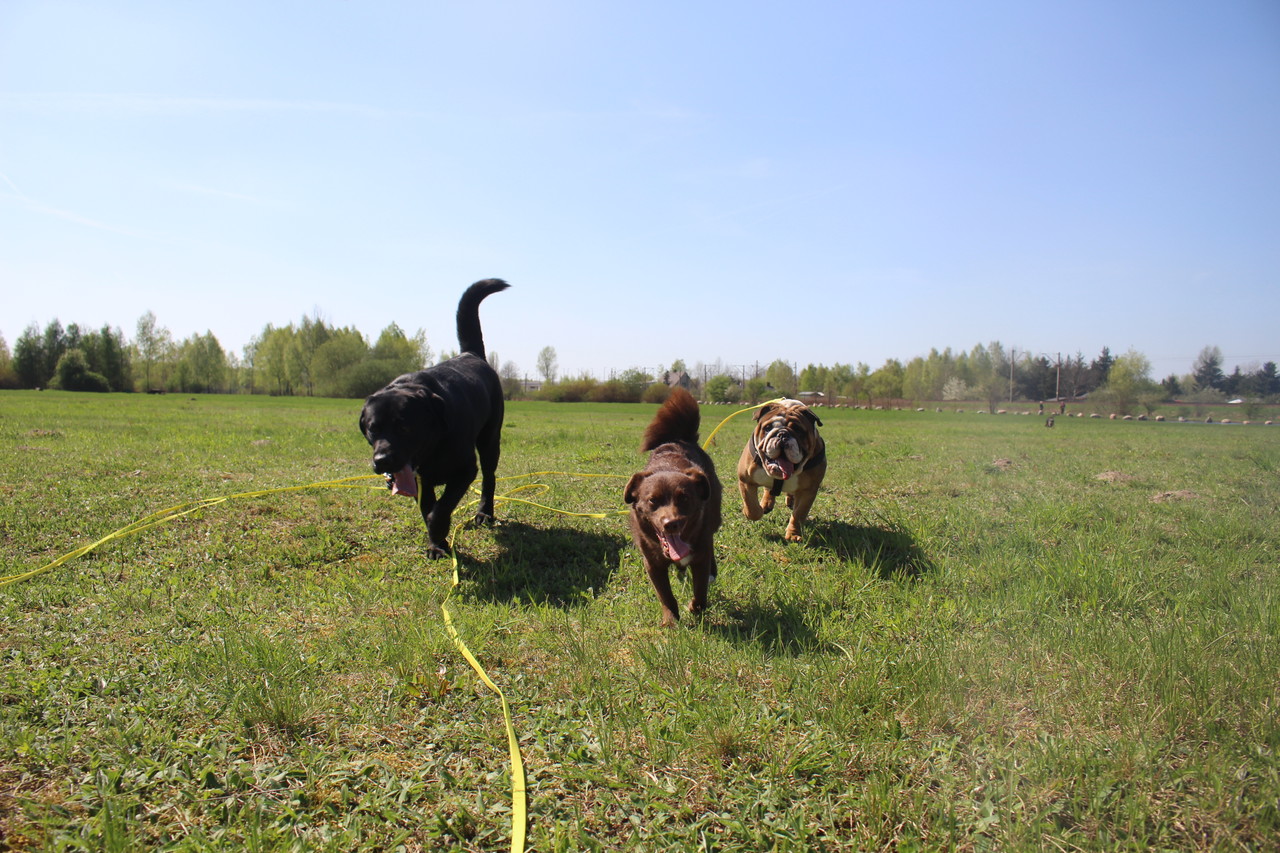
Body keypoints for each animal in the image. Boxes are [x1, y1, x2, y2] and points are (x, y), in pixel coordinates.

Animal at [358, 279, 509, 559]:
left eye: (404, 427)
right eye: (373, 429)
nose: (382, 460)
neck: (435, 444)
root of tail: (471, 354)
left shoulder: (465, 470)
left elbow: (440, 509)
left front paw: (438, 532)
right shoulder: (420, 480)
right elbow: (427, 507)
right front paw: (436, 543)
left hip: (490, 439)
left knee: (489, 478)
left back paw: (485, 513)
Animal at [624, 388, 722, 627]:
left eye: (684, 498)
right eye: (652, 500)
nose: (671, 523)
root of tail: (681, 438)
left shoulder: (700, 555)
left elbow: (700, 591)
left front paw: (695, 607)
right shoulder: (653, 563)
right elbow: (665, 594)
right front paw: (670, 621)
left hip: (714, 520)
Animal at [737, 398, 827, 542]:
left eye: (798, 430)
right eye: (768, 428)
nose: (782, 434)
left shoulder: (808, 491)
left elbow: (799, 514)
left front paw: (794, 534)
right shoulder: (745, 480)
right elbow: (752, 507)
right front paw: (748, 511)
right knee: (768, 490)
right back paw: (766, 504)